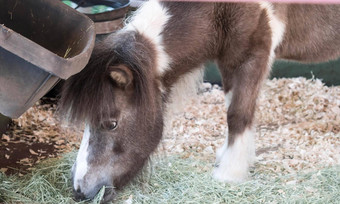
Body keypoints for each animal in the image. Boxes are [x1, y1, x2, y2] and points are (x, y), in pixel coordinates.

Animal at [59, 0, 340, 202]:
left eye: (111, 123)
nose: (79, 190)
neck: (218, 8)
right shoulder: (229, 59)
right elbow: (232, 108)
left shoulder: (253, 54)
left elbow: (238, 114)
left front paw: (229, 174)